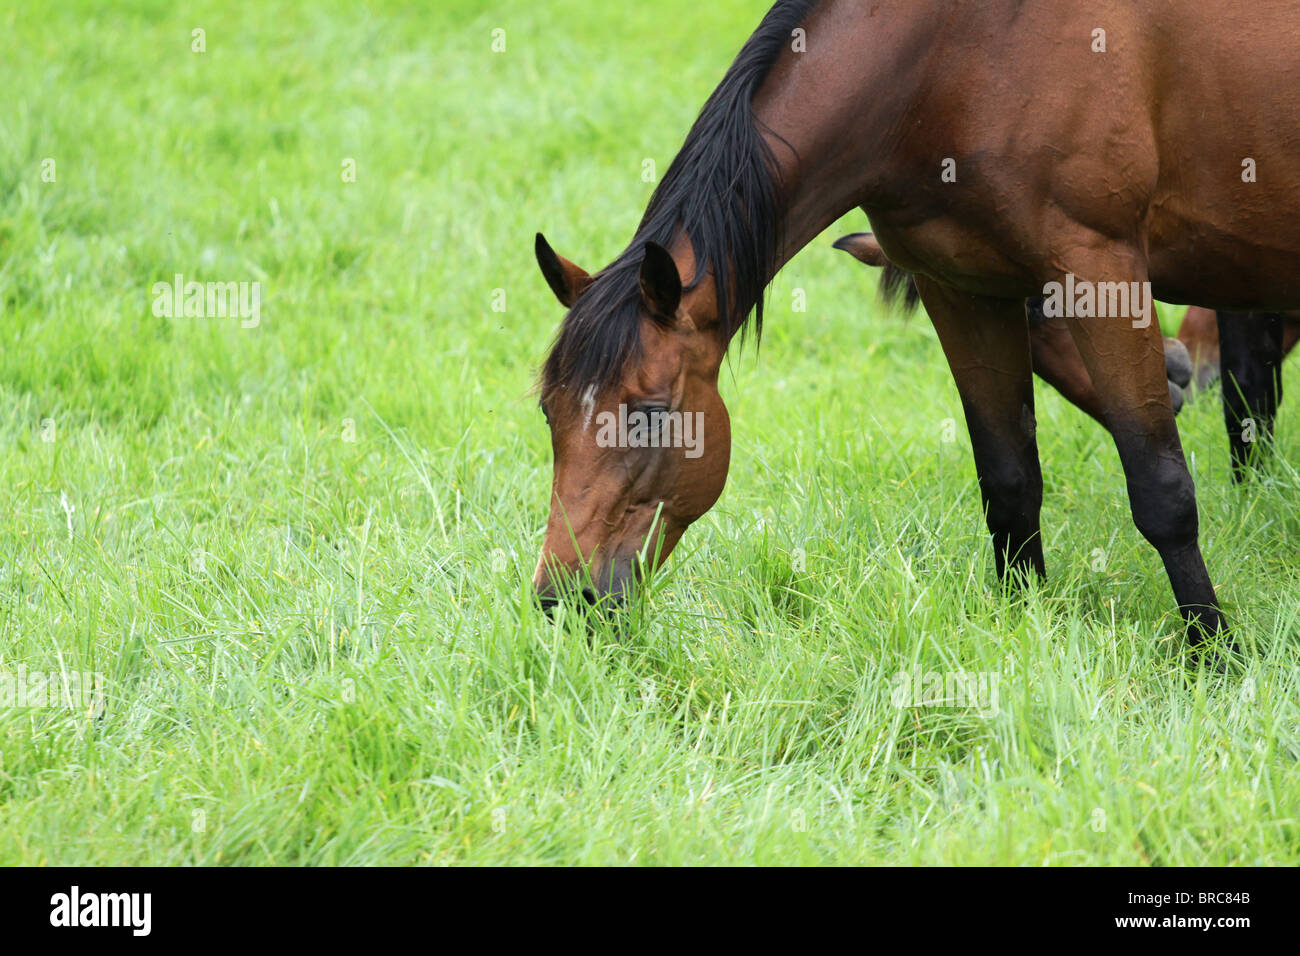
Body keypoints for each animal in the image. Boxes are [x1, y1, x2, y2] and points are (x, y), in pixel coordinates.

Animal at [530, 0, 1300, 650]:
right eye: (549, 414)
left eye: (649, 416)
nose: (559, 600)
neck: (953, 63)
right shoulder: (961, 289)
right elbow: (1009, 482)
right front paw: (1023, 628)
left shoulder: (1098, 270)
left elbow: (1161, 488)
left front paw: (1215, 654)